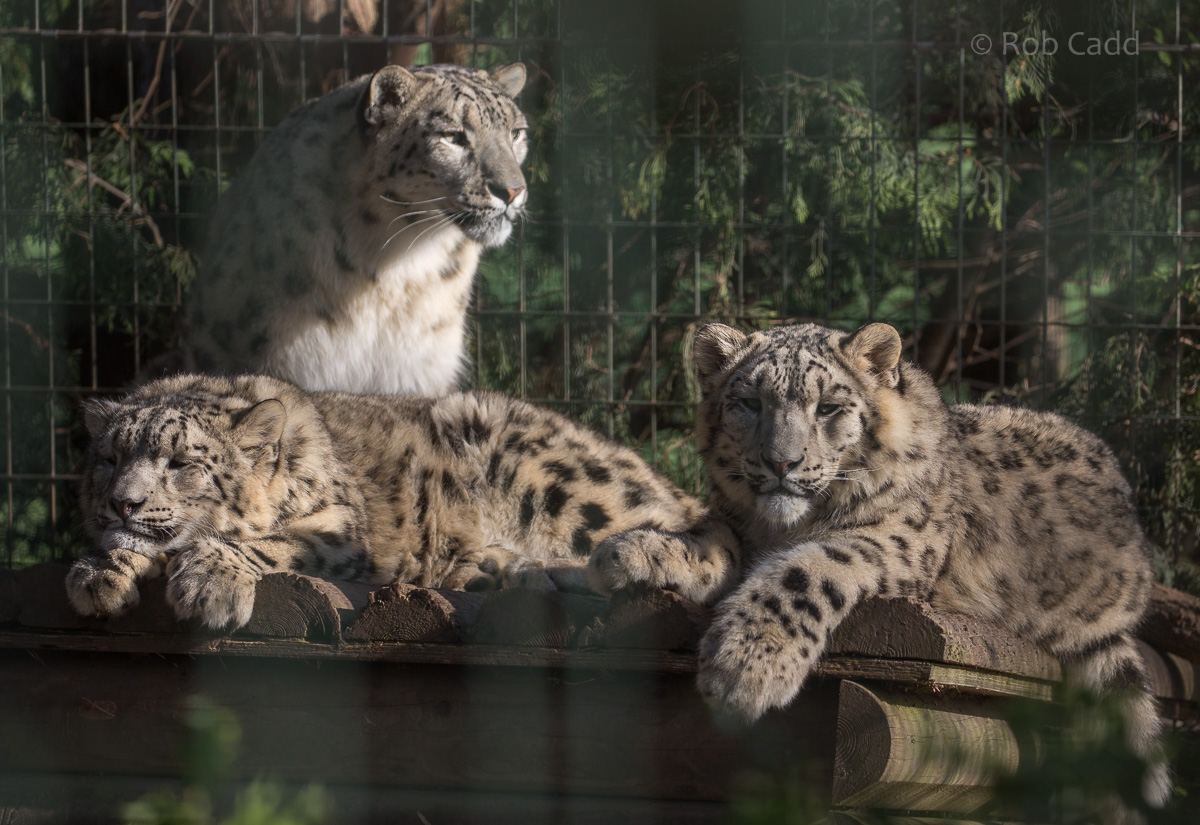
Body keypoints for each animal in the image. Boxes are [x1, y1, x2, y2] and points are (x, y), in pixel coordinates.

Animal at [67, 373, 702, 631]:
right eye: (109, 459)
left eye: (181, 463)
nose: (124, 503)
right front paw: (99, 574)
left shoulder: (339, 531)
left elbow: (264, 542)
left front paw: (209, 585)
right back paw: (505, 569)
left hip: (558, 478)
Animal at [588, 320, 1171, 810]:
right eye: (749, 402)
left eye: (827, 407)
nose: (782, 462)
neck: (780, 528)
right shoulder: (737, 525)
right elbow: (710, 540)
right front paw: (627, 552)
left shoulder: (893, 540)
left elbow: (805, 568)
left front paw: (745, 667)